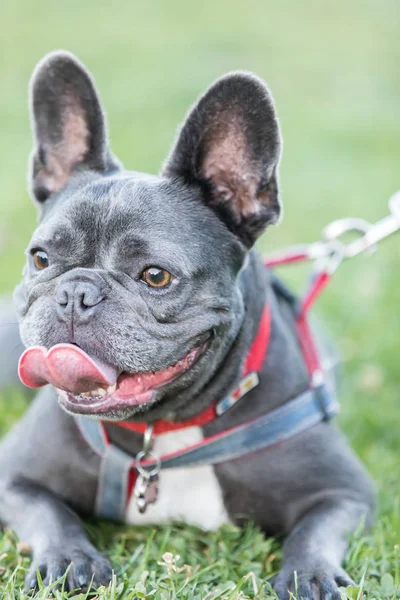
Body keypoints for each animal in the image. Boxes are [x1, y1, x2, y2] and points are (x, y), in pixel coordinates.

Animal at [0, 52, 376, 600]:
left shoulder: (344, 492)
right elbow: (48, 513)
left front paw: (311, 575)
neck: (165, 430)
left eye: (156, 276)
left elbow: (317, 530)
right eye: (41, 259)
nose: (76, 294)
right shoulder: (15, 478)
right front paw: (70, 559)